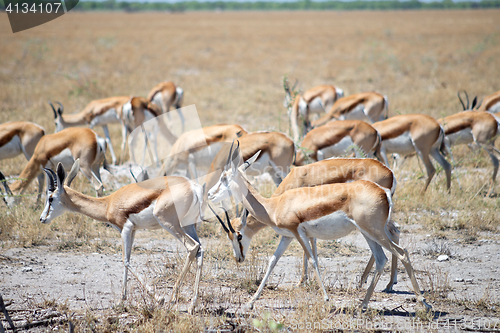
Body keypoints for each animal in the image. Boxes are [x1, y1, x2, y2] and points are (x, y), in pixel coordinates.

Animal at [39, 160, 205, 312]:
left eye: (50, 198)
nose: (42, 219)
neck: (108, 203)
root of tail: (192, 187)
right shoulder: (133, 230)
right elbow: (127, 260)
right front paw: (120, 301)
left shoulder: (126, 228)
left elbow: (125, 261)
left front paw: (159, 298)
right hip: (188, 225)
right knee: (200, 250)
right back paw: (192, 305)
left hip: (169, 224)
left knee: (192, 247)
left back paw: (172, 298)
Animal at [210, 157, 398, 290]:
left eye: (238, 236)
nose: (238, 258)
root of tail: (390, 172)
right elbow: (311, 244)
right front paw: (310, 279)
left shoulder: (299, 223)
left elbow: (308, 248)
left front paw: (303, 281)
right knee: (395, 232)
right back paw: (385, 283)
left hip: (369, 221)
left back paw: (370, 282)